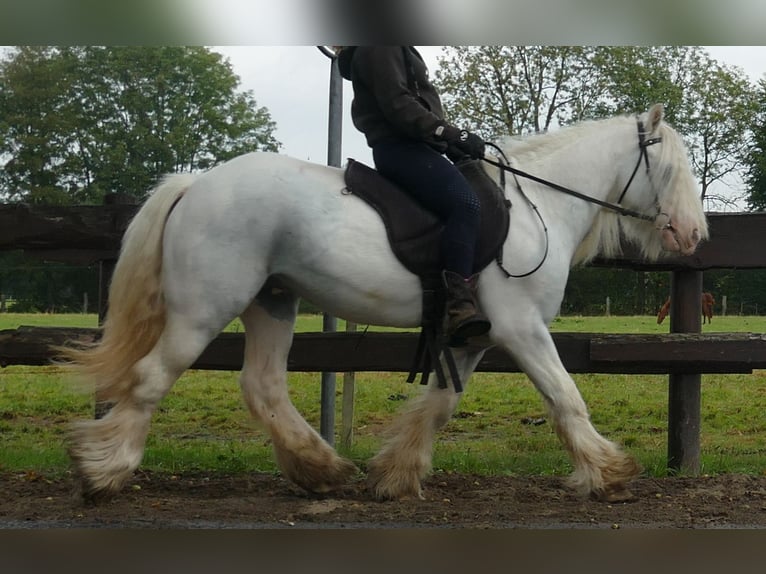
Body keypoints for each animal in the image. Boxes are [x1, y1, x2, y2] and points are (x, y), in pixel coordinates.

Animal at [64, 103, 708, 504]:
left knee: (263, 386)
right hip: (204, 307)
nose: (694, 237)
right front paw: (609, 473)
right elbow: (565, 397)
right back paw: (104, 472)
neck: (537, 205)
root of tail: (197, 183)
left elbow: (440, 406)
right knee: (151, 377)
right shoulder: (522, 328)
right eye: (669, 168)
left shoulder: (473, 336)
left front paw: (394, 477)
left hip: (273, 301)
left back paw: (321, 470)